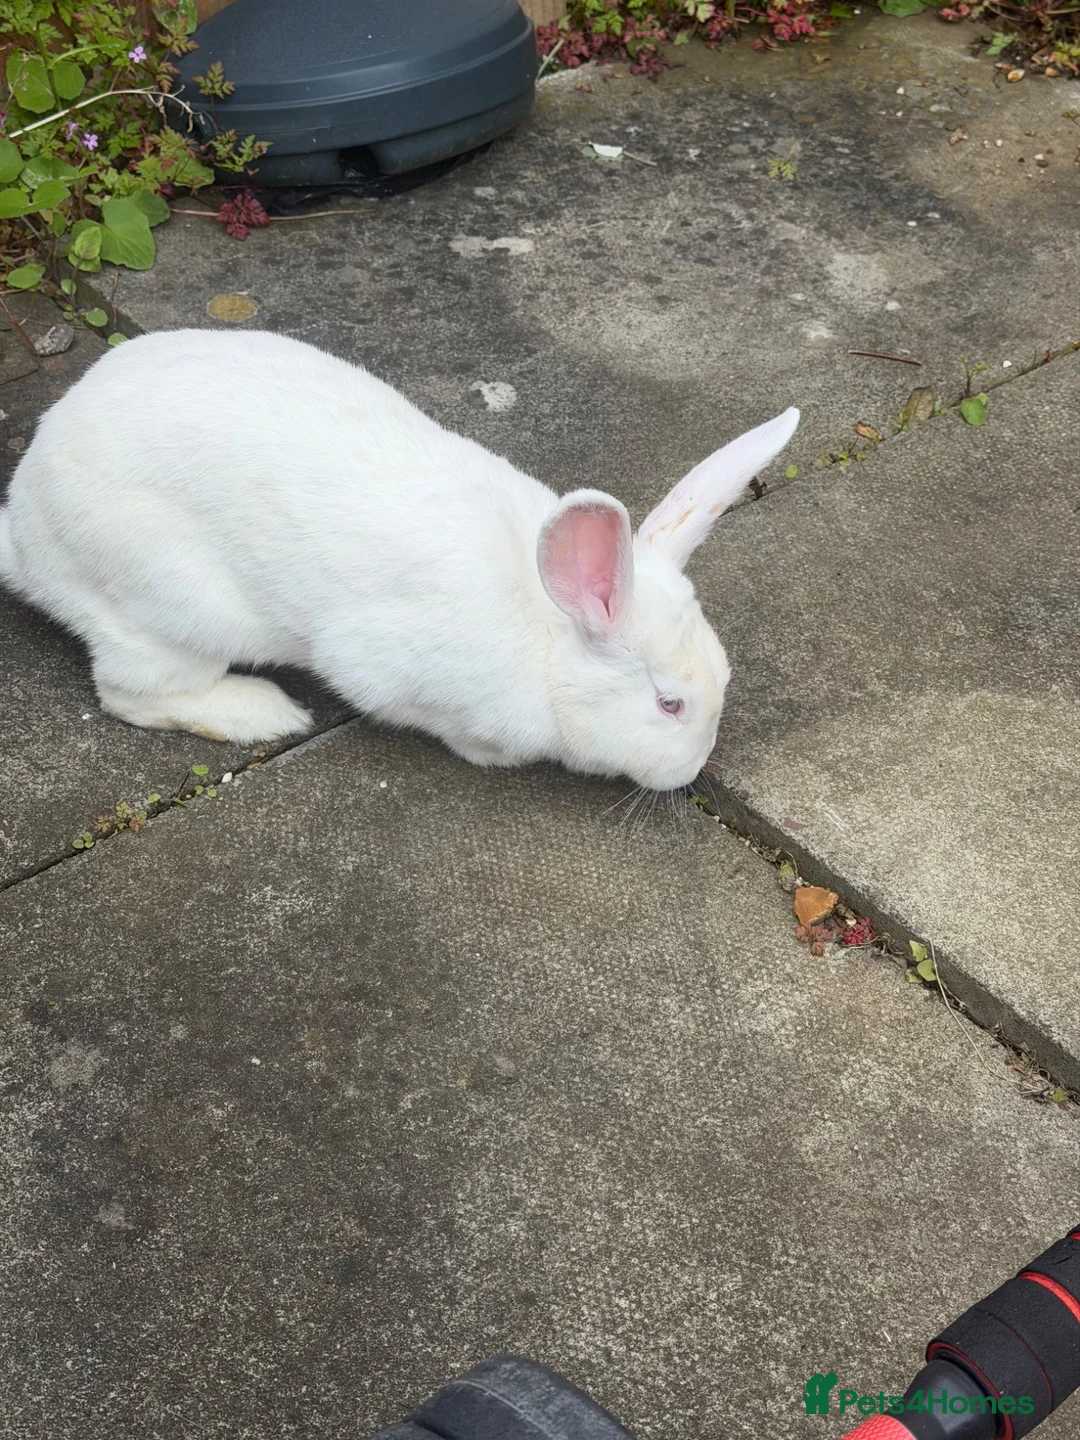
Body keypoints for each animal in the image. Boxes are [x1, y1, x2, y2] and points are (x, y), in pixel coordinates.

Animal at [0, 329, 798, 791]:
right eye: (669, 704)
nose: (695, 768)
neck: (546, 632)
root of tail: (25, 528)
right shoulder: (389, 671)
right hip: (173, 611)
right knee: (130, 693)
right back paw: (264, 714)